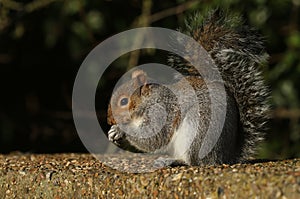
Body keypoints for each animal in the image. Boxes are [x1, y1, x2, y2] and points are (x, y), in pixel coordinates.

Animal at [106, 10, 270, 166]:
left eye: (123, 101)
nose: (109, 120)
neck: (147, 101)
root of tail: (225, 157)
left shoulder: (162, 111)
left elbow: (154, 138)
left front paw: (120, 130)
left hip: (198, 131)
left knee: (195, 162)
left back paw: (173, 161)